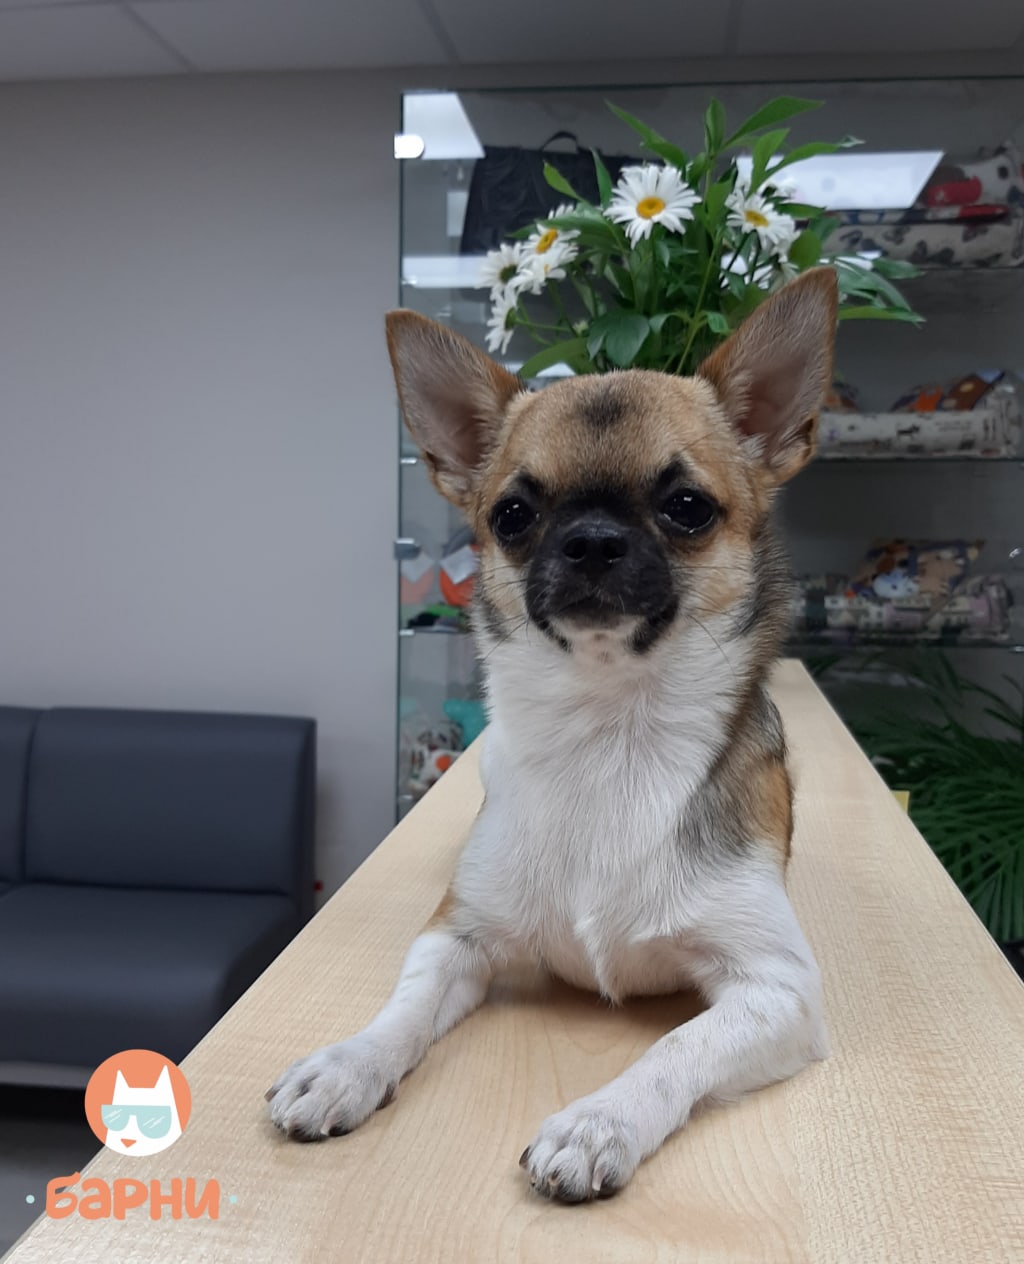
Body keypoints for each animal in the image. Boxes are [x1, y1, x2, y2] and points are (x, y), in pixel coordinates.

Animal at [268, 267, 837, 1202]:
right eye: (511, 514)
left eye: (688, 507)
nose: (592, 540)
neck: (608, 734)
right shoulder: (454, 937)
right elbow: (403, 1010)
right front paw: (348, 1063)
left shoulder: (777, 989)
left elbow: (676, 1045)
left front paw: (599, 1121)